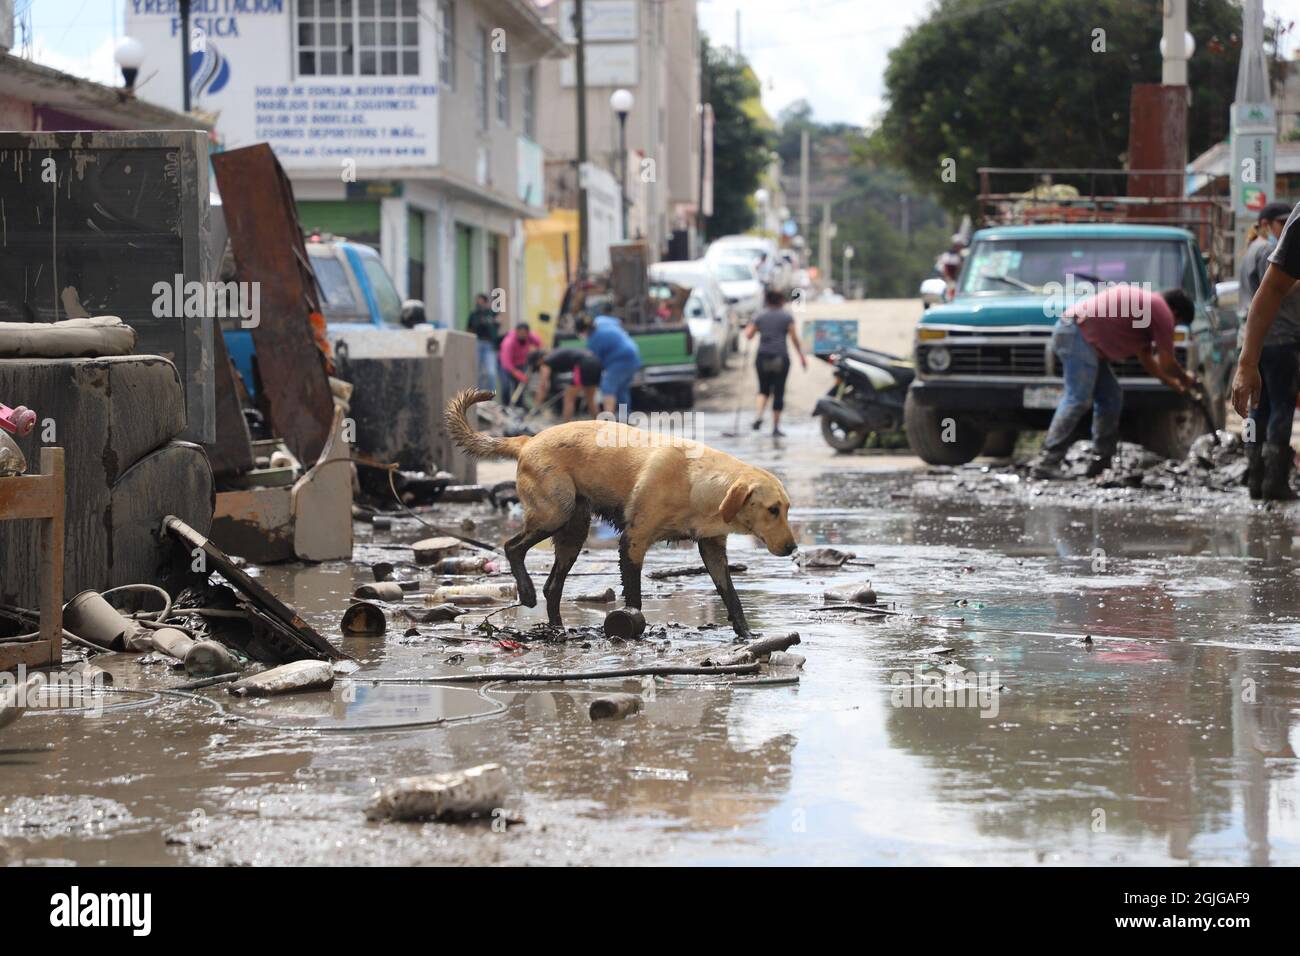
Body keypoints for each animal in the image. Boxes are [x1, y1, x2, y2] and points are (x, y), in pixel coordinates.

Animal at [444, 390, 790, 634]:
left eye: (786, 509)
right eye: (772, 510)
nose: (791, 549)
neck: (698, 483)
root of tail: (528, 440)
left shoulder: (713, 548)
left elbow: (731, 596)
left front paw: (746, 634)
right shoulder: (633, 542)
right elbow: (634, 597)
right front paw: (636, 629)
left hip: (573, 531)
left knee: (552, 586)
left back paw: (558, 629)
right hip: (553, 513)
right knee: (512, 547)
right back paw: (527, 592)